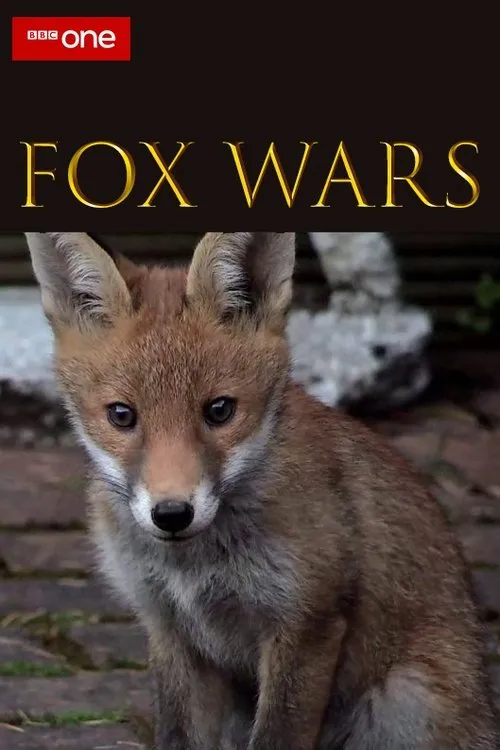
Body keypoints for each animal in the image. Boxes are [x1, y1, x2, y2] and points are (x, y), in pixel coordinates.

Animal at [25, 231, 498, 749]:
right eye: (121, 415)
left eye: (219, 410)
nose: (172, 514)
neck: (195, 570)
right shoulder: (167, 627)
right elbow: (177, 735)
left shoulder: (307, 624)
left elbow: (277, 735)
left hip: (405, 700)